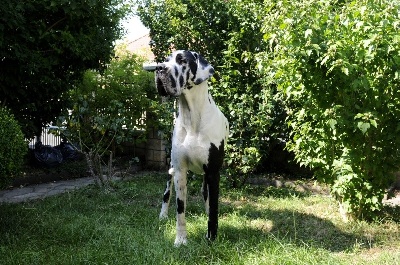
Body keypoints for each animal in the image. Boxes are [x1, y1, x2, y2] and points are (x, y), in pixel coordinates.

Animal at [155, 50, 228, 245]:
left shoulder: (213, 172)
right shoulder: (180, 171)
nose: (159, 68)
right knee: (166, 193)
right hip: (171, 170)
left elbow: (213, 208)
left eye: (182, 60)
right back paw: (162, 215)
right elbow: (180, 209)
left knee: (207, 196)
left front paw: (211, 237)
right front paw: (180, 239)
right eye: (166, 60)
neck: (192, 118)